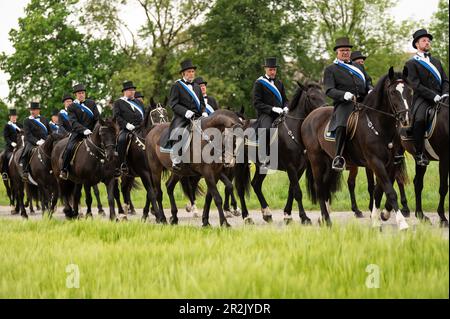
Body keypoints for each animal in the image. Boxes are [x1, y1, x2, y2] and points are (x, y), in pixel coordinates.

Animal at [232, 84, 326, 226]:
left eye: (323, 94)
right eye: (312, 97)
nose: (324, 109)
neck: (294, 131)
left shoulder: (300, 168)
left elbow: (291, 190)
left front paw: (288, 216)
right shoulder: (291, 167)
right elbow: (297, 192)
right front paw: (304, 217)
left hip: (261, 166)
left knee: (256, 184)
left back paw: (267, 214)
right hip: (240, 164)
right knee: (240, 188)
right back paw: (247, 217)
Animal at [300, 67, 414, 230]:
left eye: (410, 91)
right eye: (393, 92)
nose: (406, 119)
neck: (379, 125)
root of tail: (310, 117)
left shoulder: (391, 163)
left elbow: (380, 190)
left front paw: (378, 218)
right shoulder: (375, 162)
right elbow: (389, 191)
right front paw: (402, 223)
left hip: (329, 162)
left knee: (326, 186)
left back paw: (323, 217)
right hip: (316, 160)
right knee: (320, 188)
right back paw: (327, 220)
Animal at [400, 95, 446, 228]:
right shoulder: (445, 158)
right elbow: (443, 188)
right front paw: (443, 218)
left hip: (421, 161)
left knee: (417, 183)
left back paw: (420, 215)